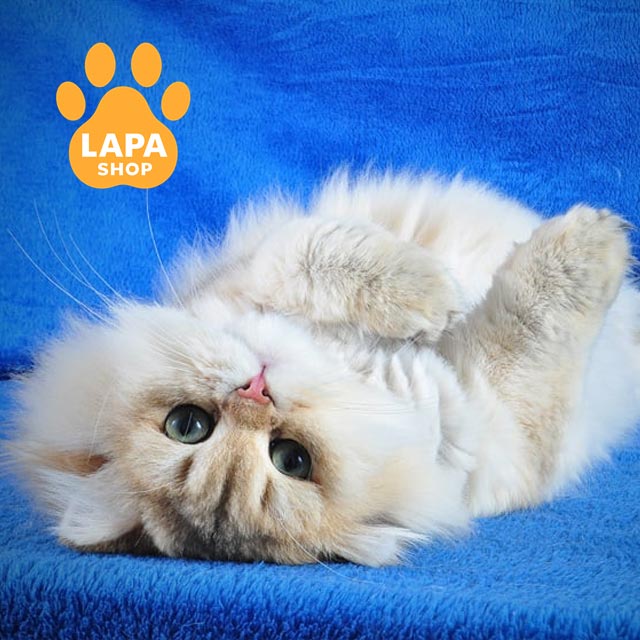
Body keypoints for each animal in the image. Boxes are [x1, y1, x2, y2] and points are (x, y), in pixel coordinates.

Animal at [11, 170, 640, 566]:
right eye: (292, 460)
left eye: (186, 425)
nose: (256, 391)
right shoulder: (500, 426)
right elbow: (533, 318)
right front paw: (594, 241)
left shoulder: (254, 270)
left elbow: (310, 255)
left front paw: (430, 291)